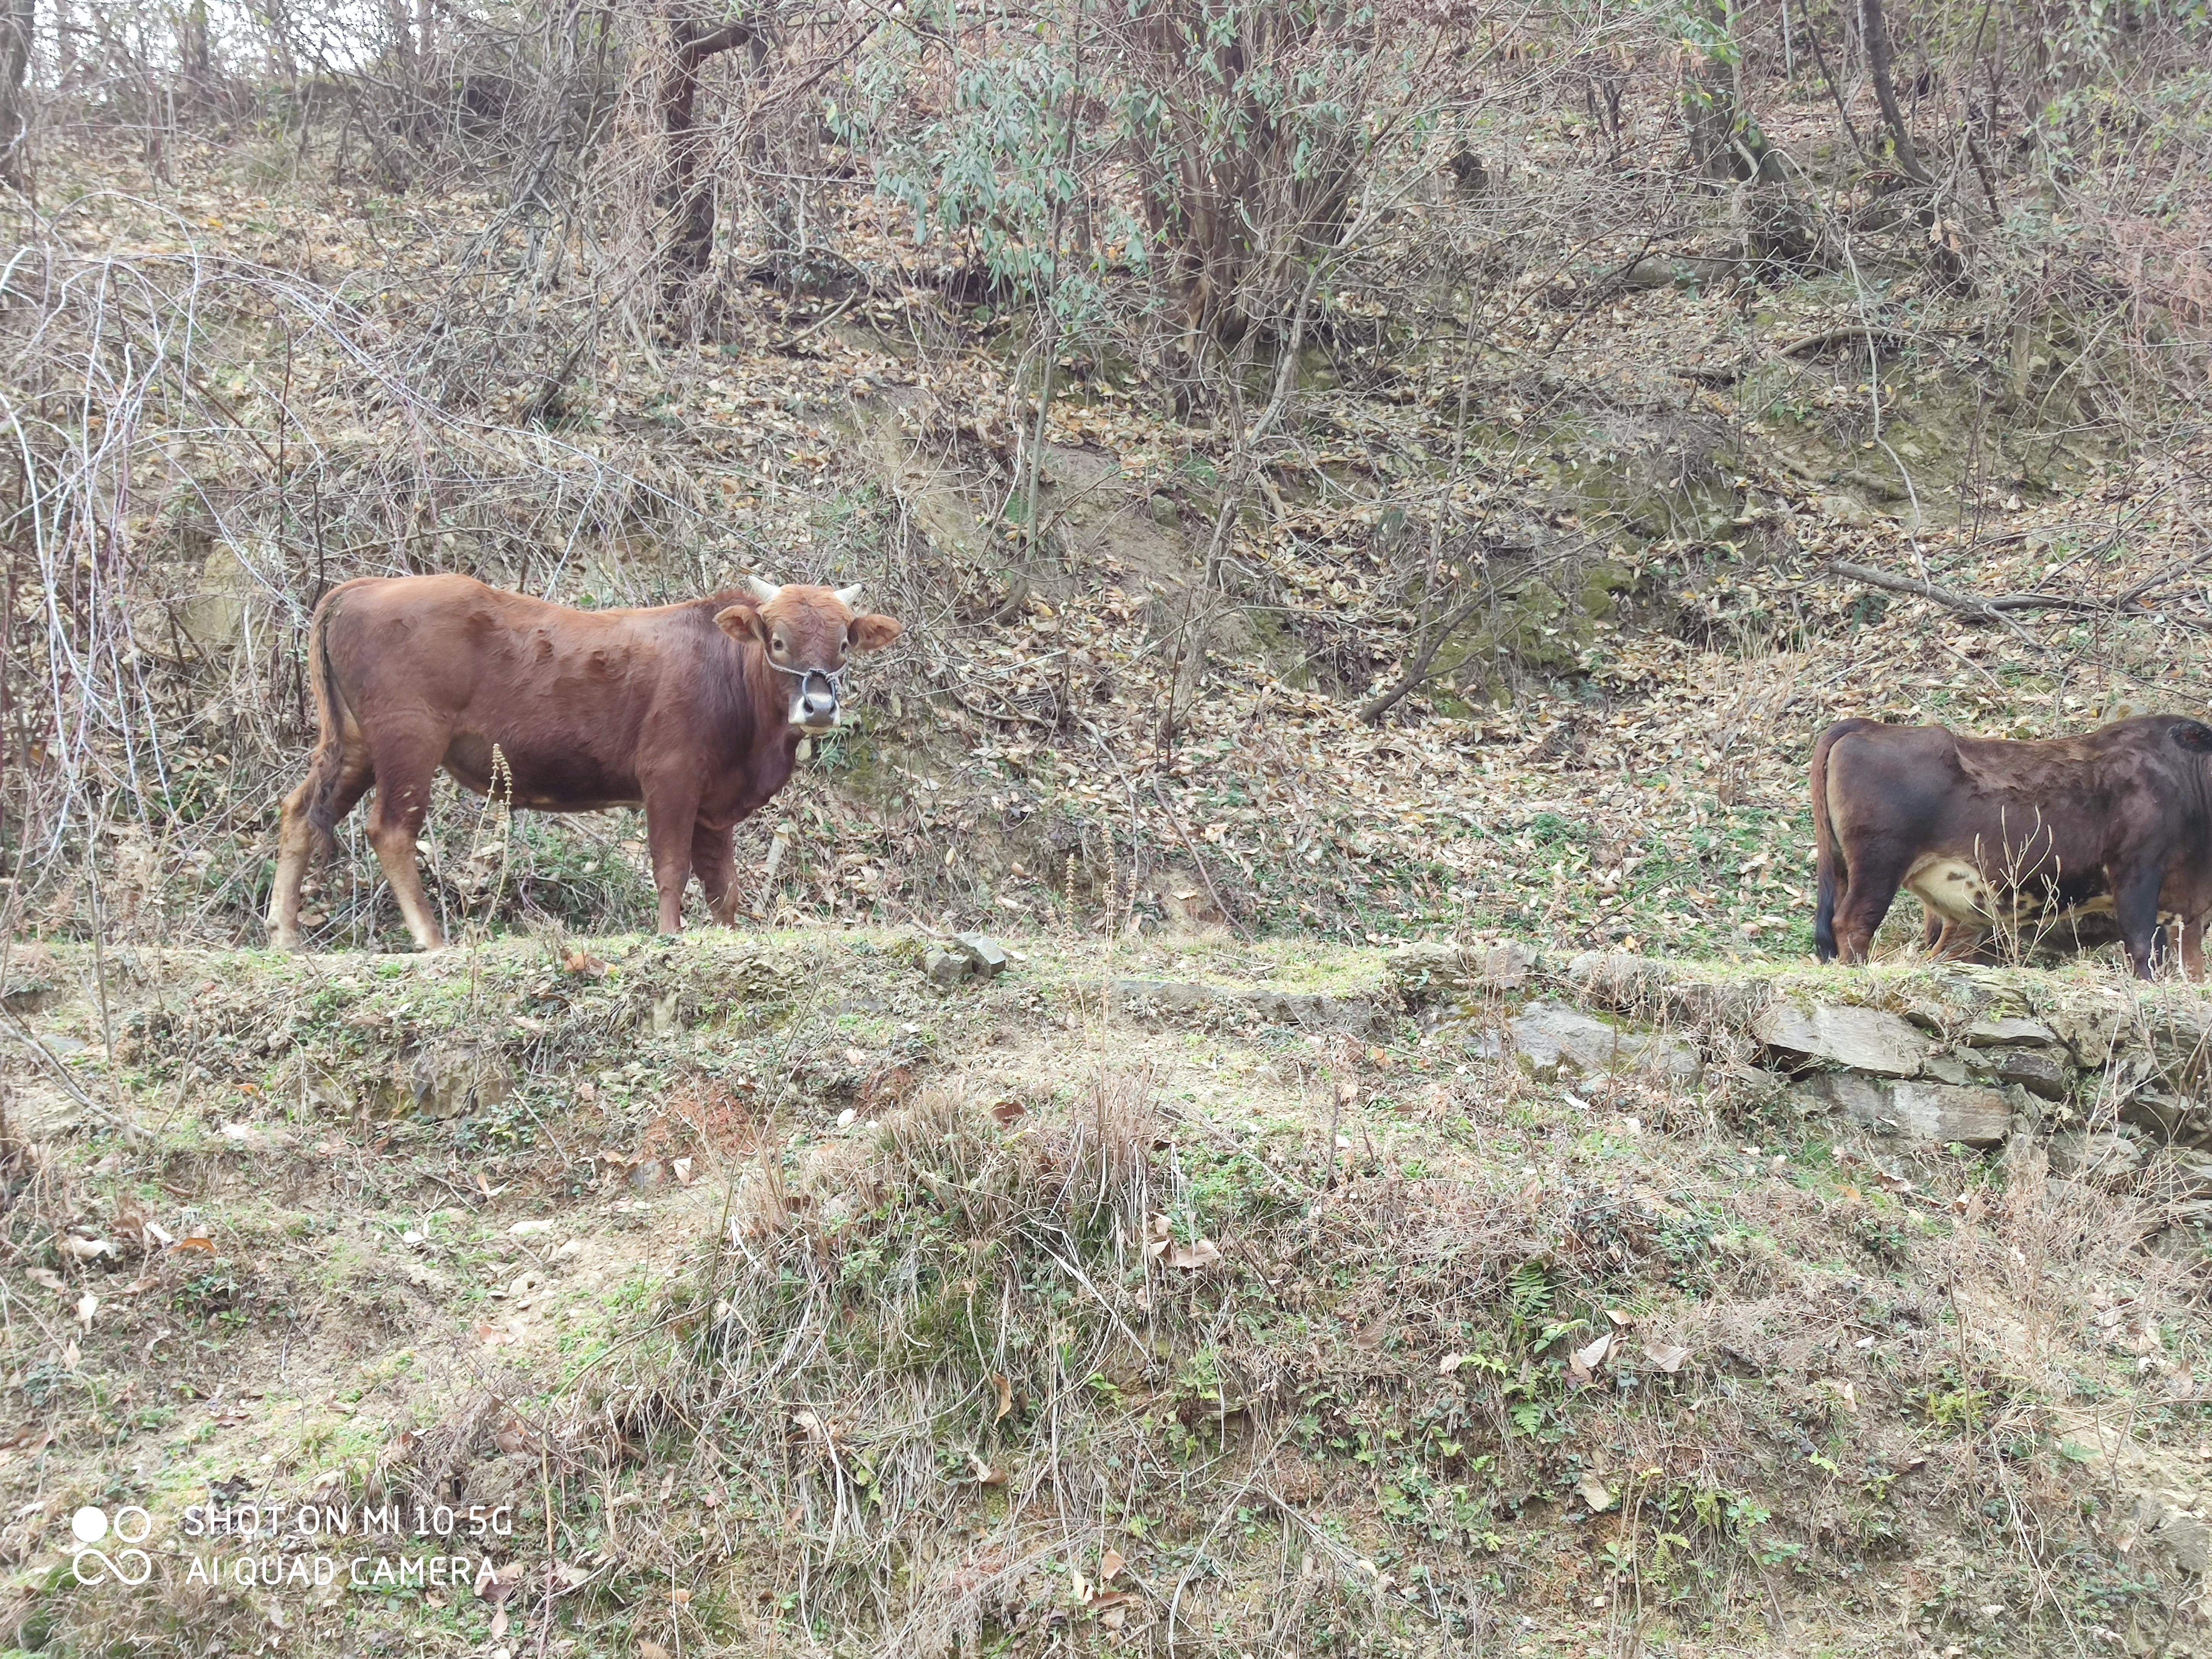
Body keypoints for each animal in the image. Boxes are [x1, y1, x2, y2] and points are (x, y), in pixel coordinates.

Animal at [265, 579, 898, 956]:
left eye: (844, 643)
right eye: (779, 640)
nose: (820, 706)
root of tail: (365, 585)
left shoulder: (715, 805)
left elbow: (725, 890)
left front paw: (726, 938)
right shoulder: (670, 776)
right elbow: (671, 869)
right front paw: (668, 938)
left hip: (355, 745)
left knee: (298, 811)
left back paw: (285, 935)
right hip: (409, 739)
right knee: (391, 830)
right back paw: (432, 940)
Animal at [1814, 716, 2212, 982]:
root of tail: (1870, 726)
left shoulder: (2190, 911)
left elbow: (2192, 962)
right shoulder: (2137, 871)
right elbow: (2142, 944)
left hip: (1849, 868)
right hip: (1878, 864)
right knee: (1852, 923)